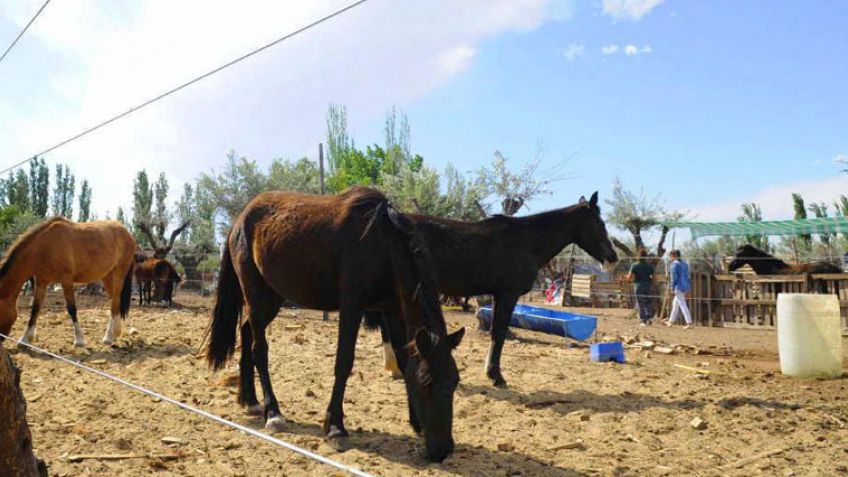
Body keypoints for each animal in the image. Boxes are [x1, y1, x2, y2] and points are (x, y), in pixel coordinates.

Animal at [0, 217, 136, 348]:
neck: (45, 246)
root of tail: (126, 232)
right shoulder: (41, 281)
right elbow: (35, 308)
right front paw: (25, 339)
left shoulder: (66, 281)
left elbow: (72, 309)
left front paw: (79, 340)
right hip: (107, 276)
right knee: (116, 300)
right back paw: (116, 332)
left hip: (119, 274)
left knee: (115, 302)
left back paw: (108, 337)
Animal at [206, 187, 464, 462]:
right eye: (427, 382)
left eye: (454, 381)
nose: (443, 450)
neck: (382, 242)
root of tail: (239, 222)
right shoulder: (352, 307)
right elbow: (344, 363)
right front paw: (335, 426)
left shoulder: (392, 310)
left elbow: (404, 362)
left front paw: (415, 422)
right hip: (256, 294)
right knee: (259, 349)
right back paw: (273, 413)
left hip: (272, 297)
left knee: (246, 332)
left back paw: (250, 400)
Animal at [366, 192, 618, 388]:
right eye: (600, 223)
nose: (612, 258)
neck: (526, 241)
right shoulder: (507, 295)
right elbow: (499, 334)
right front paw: (496, 376)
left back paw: (394, 369)